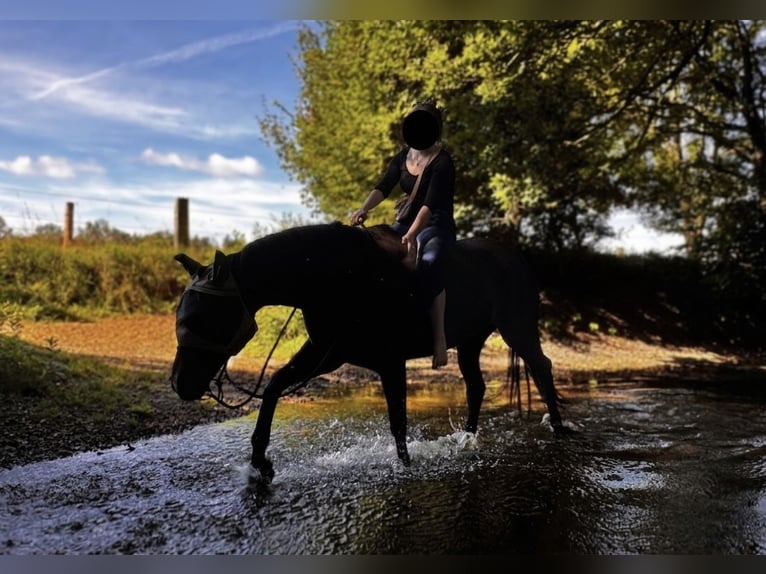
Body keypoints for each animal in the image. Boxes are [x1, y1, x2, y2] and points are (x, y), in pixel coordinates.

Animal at [170, 222, 566, 482]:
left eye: (202, 316)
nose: (179, 384)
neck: (338, 278)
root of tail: (516, 259)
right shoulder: (326, 353)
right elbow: (274, 386)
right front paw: (259, 462)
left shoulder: (390, 361)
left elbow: (398, 423)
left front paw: (405, 470)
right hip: (471, 341)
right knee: (477, 386)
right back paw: (466, 440)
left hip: (518, 329)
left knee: (542, 367)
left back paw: (559, 429)